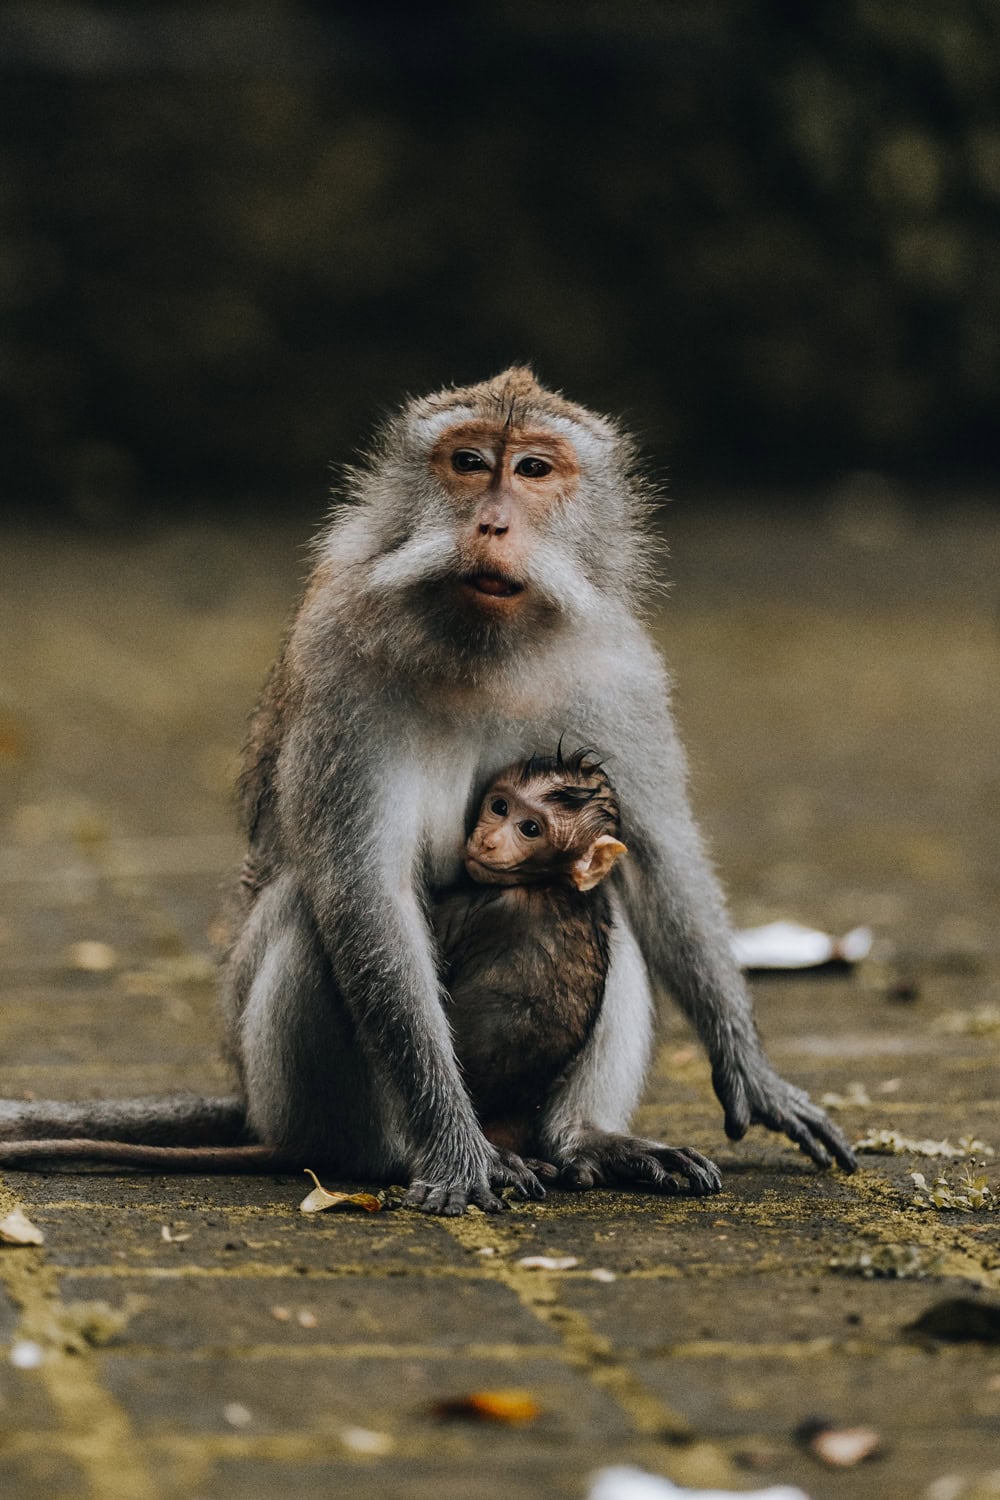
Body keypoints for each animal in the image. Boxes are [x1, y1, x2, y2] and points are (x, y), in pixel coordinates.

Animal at [0, 367, 856, 1206]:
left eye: (533, 469)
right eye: (470, 462)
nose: (492, 524)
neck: (486, 644)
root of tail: (253, 1106)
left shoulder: (620, 668)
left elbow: (653, 855)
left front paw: (753, 1073)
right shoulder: (341, 661)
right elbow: (367, 892)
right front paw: (450, 1144)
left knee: (600, 897)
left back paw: (583, 1141)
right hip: (284, 1089)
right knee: (310, 911)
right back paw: (397, 1152)